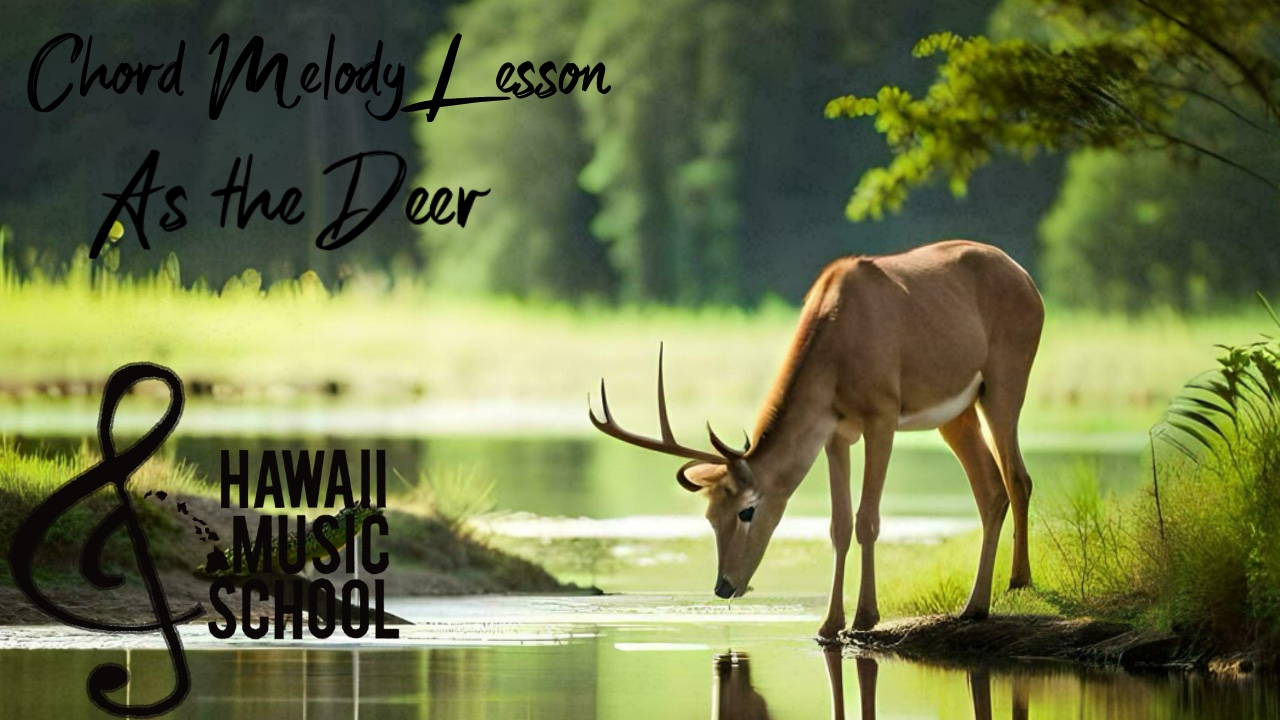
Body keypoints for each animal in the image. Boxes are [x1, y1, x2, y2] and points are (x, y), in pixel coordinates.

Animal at [589, 240, 1044, 640]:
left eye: (746, 510)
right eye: (709, 515)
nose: (723, 586)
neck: (838, 345)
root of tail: (1026, 278)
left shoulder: (881, 415)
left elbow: (867, 518)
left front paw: (864, 618)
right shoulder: (834, 433)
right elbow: (838, 524)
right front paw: (828, 624)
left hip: (1005, 381)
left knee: (1018, 478)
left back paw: (1017, 583)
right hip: (956, 414)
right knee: (991, 489)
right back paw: (975, 606)